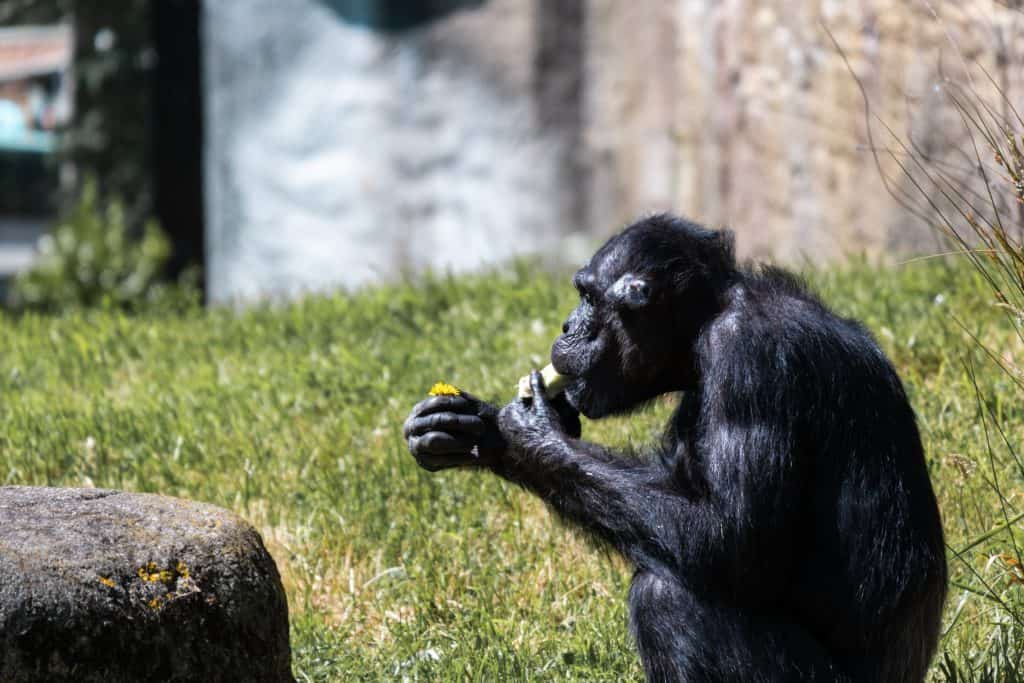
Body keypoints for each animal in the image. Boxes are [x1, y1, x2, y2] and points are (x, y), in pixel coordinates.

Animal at [403, 211, 946, 679]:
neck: (705, 322)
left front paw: (530, 430)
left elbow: (730, 536)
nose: (566, 326)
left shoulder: (748, 360)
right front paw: (479, 430)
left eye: (586, 296)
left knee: (665, 599)